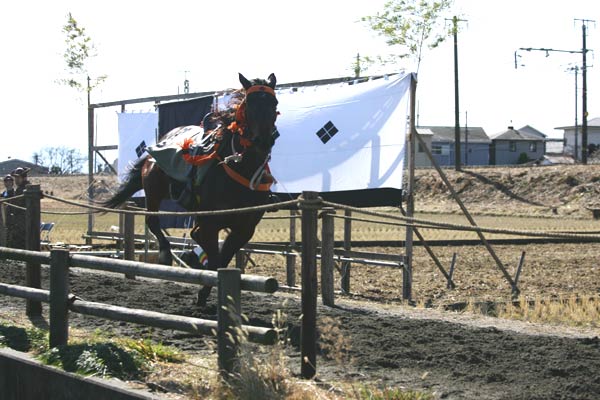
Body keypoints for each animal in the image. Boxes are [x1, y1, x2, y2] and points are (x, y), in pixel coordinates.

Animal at [102, 73, 278, 306]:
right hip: (154, 189)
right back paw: (166, 254)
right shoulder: (212, 223)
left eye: (274, 103)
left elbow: (222, 258)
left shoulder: (244, 228)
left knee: (193, 233)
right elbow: (215, 258)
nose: (263, 141)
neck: (242, 167)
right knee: (153, 221)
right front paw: (202, 290)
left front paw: (206, 290)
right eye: (249, 104)